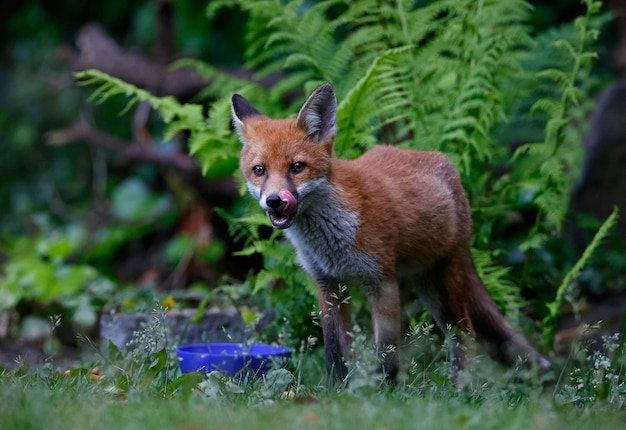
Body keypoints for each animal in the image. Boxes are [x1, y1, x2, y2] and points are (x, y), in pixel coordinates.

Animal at [229, 83, 544, 382]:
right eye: (259, 170)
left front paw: (383, 393)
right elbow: (335, 352)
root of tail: (444, 164)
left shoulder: (380, 282)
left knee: (465, 336)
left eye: (297, 167)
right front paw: (335, 390)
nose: (274, 201)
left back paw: (461, 389)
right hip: (417, 284)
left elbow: (386, 353)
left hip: (443, 287)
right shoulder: (328, 284)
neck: (331, 240)